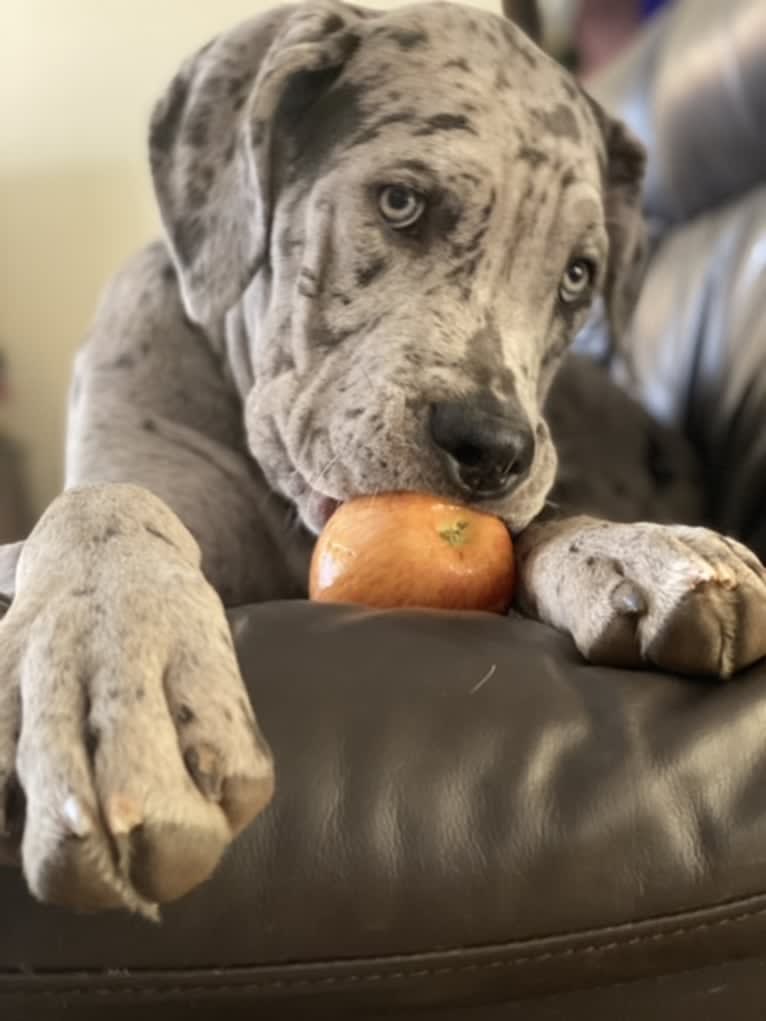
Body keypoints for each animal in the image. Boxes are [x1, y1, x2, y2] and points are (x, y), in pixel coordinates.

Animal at [1, 0, 766, 918]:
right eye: (401, 201)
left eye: (578, 277)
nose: (493, 449)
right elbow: (103, 515)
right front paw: (110, 677)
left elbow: (542, 526)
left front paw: (633, 548)